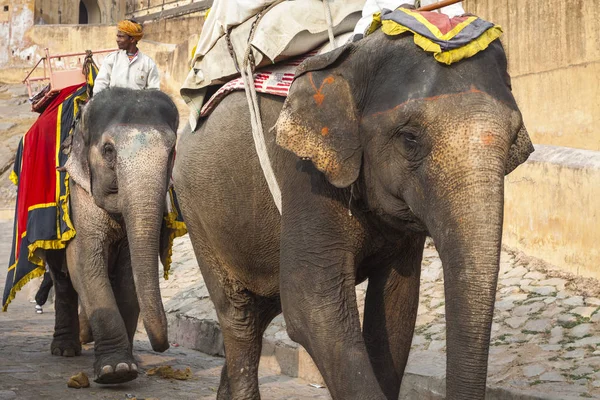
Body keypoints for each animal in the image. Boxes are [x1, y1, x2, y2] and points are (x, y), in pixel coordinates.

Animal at [44, 88, 178, 384]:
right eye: (108, 150)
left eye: (172, 151)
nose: (163, 347)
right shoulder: (79, 193)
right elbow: (84, 263)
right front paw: (116, 372)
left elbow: (128, 278)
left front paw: (128, 365)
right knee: (62, 278)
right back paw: (65, 350)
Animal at [173, 28, 536, 400]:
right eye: (409, 139)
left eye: (513, 139)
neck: (357, 56)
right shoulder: (305, 176)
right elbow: (311, 305)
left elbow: (396, 306)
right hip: (197, 214)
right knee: (239, 316)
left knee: (263, 308)